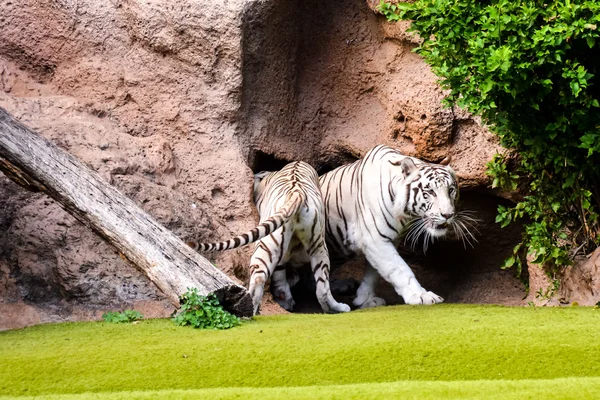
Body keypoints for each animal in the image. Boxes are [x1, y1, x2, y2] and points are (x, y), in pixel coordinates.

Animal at [192, 160, 352, 316]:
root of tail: (297, 193)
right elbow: (283, 274)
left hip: (278, 242)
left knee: (260, 277)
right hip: (314, 245)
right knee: (321, 287)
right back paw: (335, 309)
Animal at [316, 145, 476, 308]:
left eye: (450, 190)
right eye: (430, 192)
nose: (448, 215)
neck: (404, 214)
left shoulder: (390, 240)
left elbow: (374, 273)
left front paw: (366, 299)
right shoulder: (374, 239)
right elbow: (398, 269)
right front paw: (421, 296)